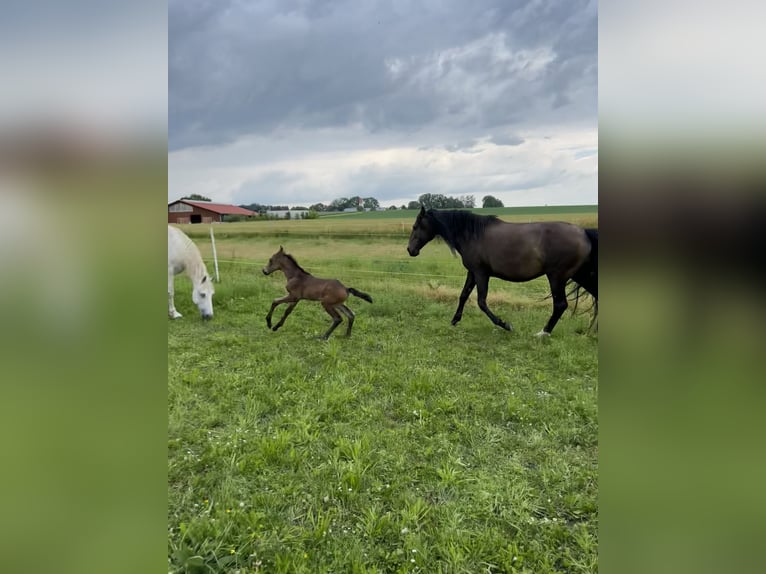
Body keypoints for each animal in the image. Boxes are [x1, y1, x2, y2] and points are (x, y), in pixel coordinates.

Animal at [408, 208, 600, 338]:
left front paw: (505, 325)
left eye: (416, 226)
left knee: (560, 305)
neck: (473, 234)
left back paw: (543, 333)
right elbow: (463, 295)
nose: (410, 250)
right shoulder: (472, 272)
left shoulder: (481, 273)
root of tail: (584, 232)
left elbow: (481, 302)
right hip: (580, 275)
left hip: (557, 277)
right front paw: (455, 320)